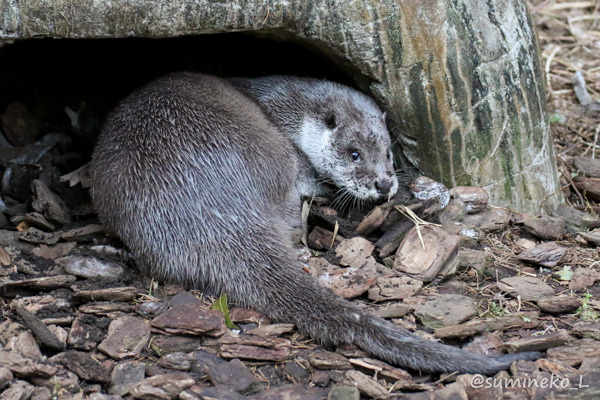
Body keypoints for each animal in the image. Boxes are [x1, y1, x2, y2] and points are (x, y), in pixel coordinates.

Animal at [91, 72, 540, 376]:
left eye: (388, 151)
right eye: (354, 153)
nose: (384, 183)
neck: (284, 107)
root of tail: (203, 208)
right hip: (272, 154)